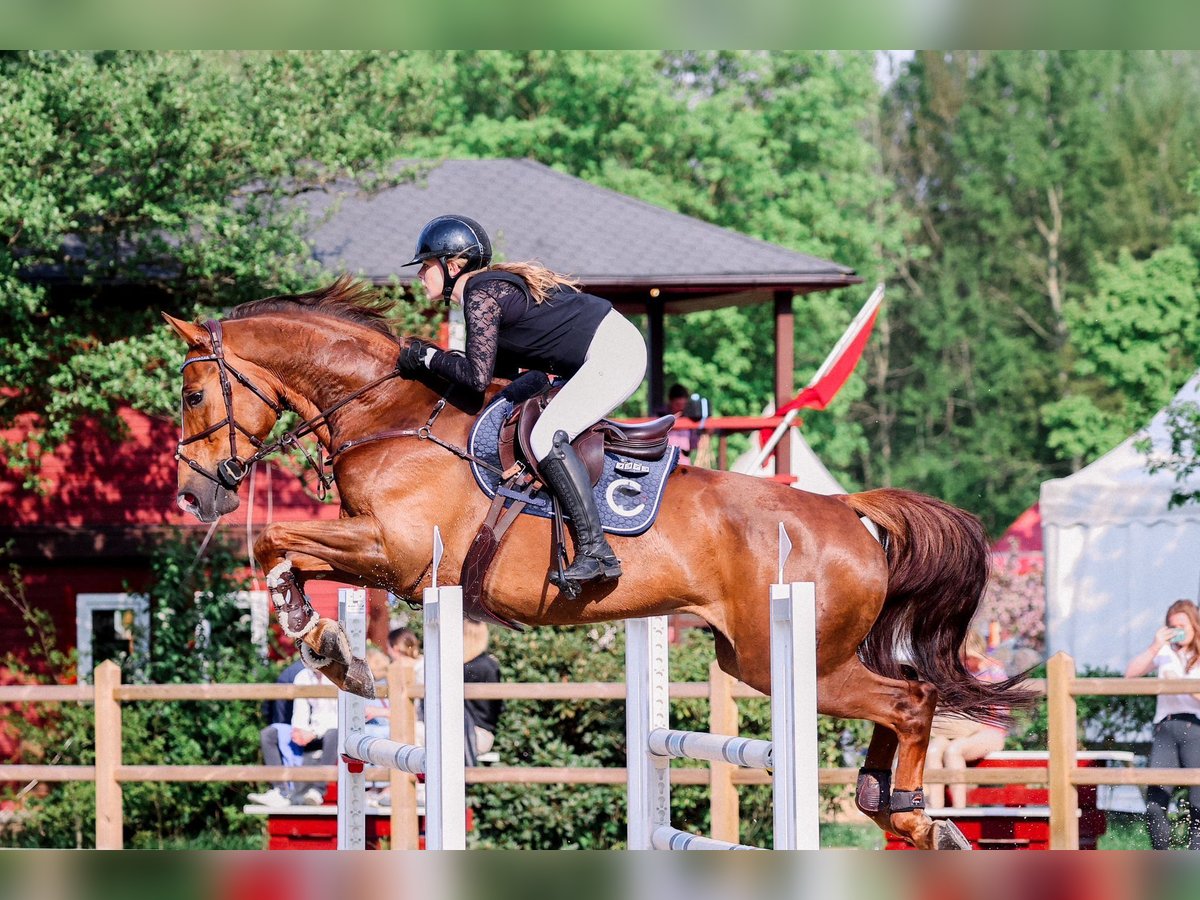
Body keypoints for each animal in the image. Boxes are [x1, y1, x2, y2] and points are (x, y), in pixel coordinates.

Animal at [164, 278, 1036, 849]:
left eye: (195, 395)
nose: (192, 495)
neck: (393, 415)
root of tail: (850, 512)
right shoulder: (380, 556)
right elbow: (286, 551)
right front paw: (329, 644)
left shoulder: (399, 554)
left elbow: (279, 543)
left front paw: (323, 644)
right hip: (776, 655)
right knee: (901, 701)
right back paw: (893, 805)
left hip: (788, 658)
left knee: (911, 701)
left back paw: (912, 810)